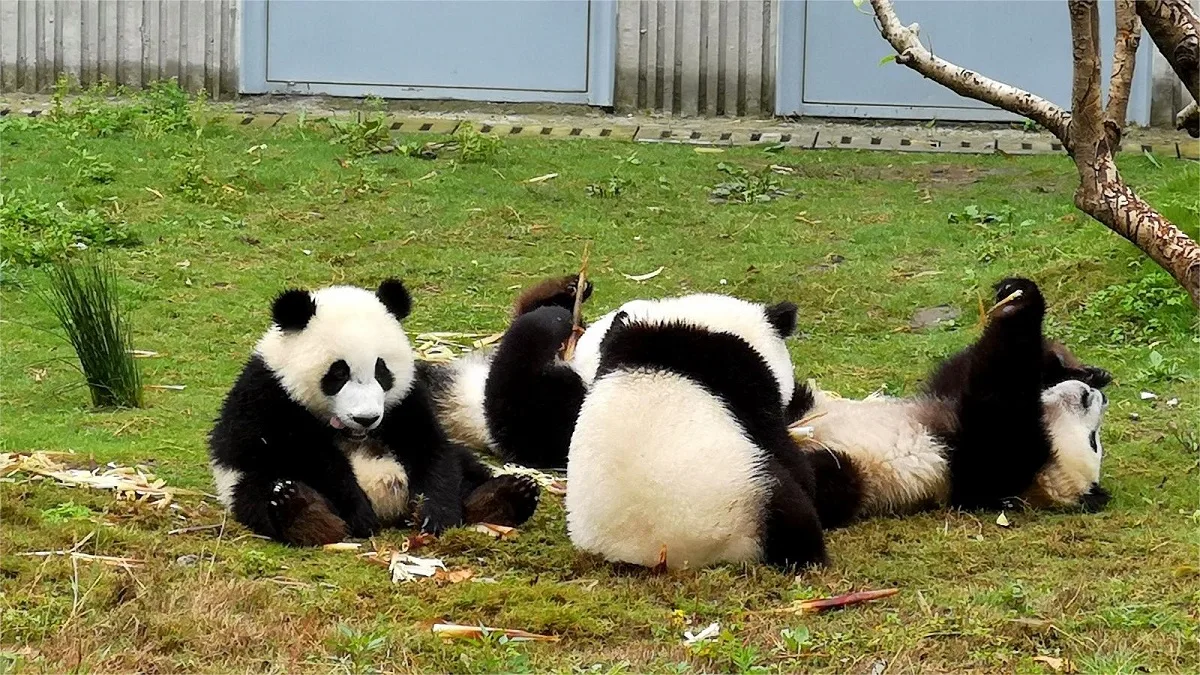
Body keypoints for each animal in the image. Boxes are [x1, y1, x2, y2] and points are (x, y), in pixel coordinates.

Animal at [208, 279, 541, 547]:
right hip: (243, 480)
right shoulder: (271, 397)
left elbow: (429, 448)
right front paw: (358, 514)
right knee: (261, 493)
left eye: (382, 371)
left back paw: (506, 496)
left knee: (467, 469)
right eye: (338, 373)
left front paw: (436, 514)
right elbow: (305, 456)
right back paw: (302, 512)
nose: (365, 418)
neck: (352, 433)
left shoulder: (406, 399)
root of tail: (391, 509)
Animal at [793, 277, 1111, 530]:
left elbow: (996, 395)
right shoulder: (946, 397)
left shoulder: (988, 466)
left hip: (859, 474)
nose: (1093, 395)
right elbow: (963, 369)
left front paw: (1021, 305)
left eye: (1092, 441)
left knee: (823, 478)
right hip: (809, 403)